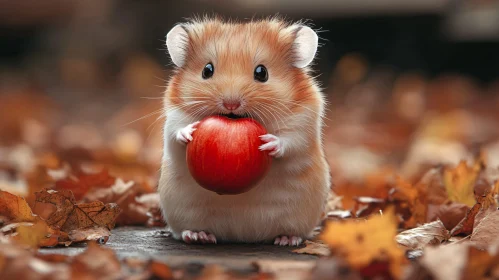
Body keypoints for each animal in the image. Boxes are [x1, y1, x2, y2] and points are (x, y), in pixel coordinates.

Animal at [160, 16, 332, 246]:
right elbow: (175, 132)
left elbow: (291, 141)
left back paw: (287, 239)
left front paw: (269, 143)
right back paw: (198, 236)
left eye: (262, 73)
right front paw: (189, 132)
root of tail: (242, 235)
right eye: (207, 70)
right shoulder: (173, 115)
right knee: (186, 230)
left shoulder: (304, 122)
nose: (231, 104)